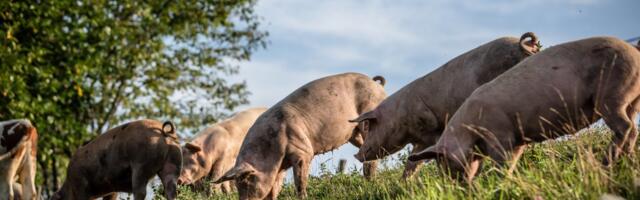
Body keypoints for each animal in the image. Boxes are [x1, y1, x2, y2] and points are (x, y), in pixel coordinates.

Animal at [52, 119, 182, 199]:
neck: (69, 185)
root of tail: (164, 132)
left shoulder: (80, 185)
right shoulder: (111, 189)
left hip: (141, 165)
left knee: (140, 192)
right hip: (173, 163)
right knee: (171, 189)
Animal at [215, 72, 388, 199]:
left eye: (246, 181)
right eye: (238, 185)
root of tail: (376, 84)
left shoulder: (303, 150)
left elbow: (300, 180)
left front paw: (303, 196)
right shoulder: (279, 167)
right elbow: (275, 188)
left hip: (369, 114)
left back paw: (370, 180)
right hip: (354, 134)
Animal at [350, 32, 540, 179]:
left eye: (371, 126)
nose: (357, 154)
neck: (400, 117)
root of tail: (525, 45)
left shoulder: (433, 128)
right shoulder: (421, 141)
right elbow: (412, 163)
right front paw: (404, 184)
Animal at [410, 36, 640, 181]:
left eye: (444, 163)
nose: (457, 186)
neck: (470, 129)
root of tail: (633, 50)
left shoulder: (500, 135)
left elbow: (501, 162)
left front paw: (496, 181)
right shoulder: (518, 141)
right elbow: (511, 163)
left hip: (612, 94)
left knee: (626, 127)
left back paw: (606, 163)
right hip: (631, 99)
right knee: (630, 129)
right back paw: (625, 161)